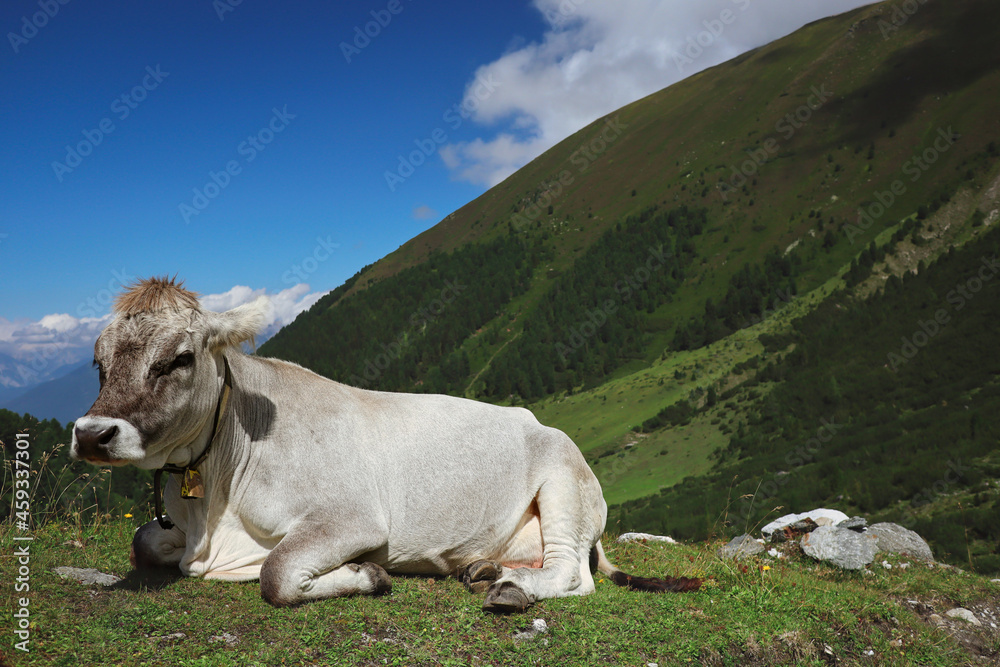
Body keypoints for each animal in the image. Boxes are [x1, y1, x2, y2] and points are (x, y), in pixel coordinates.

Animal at [70, 278, 700, 616]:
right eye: (99, 362)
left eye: (178, 358)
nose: (92, 434)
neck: (211, 511)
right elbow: (141, 543)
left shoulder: (352, 517)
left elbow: (277, 573)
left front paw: (367, 576)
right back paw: (484, 568)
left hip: (565, 481)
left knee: (572, 573)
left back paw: (510, 588)